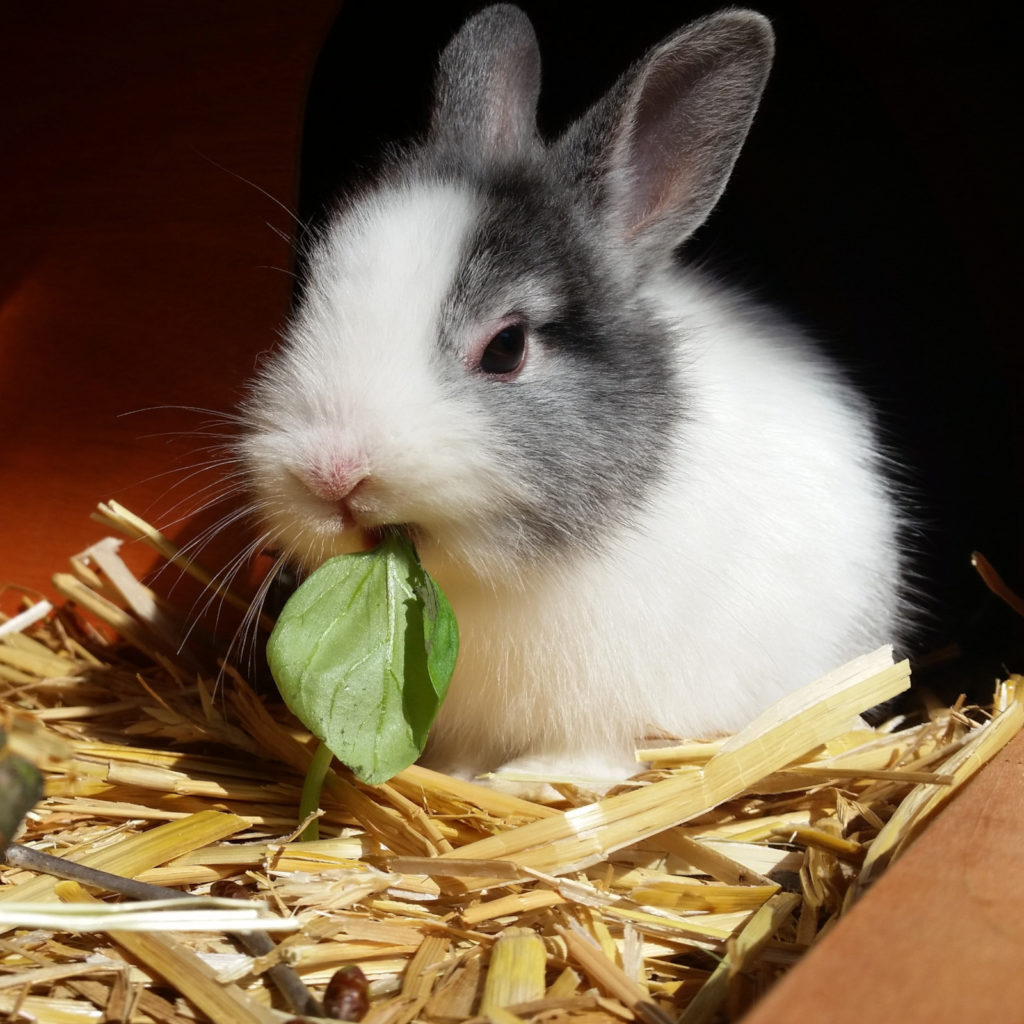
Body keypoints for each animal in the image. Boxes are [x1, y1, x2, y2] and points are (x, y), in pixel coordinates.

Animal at [237, 4, 905, 794]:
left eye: (506, 348)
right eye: (309, 299)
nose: (331, 475)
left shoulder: (608, 708)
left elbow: (592, 756)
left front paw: (524, 781)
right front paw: (464, 776)